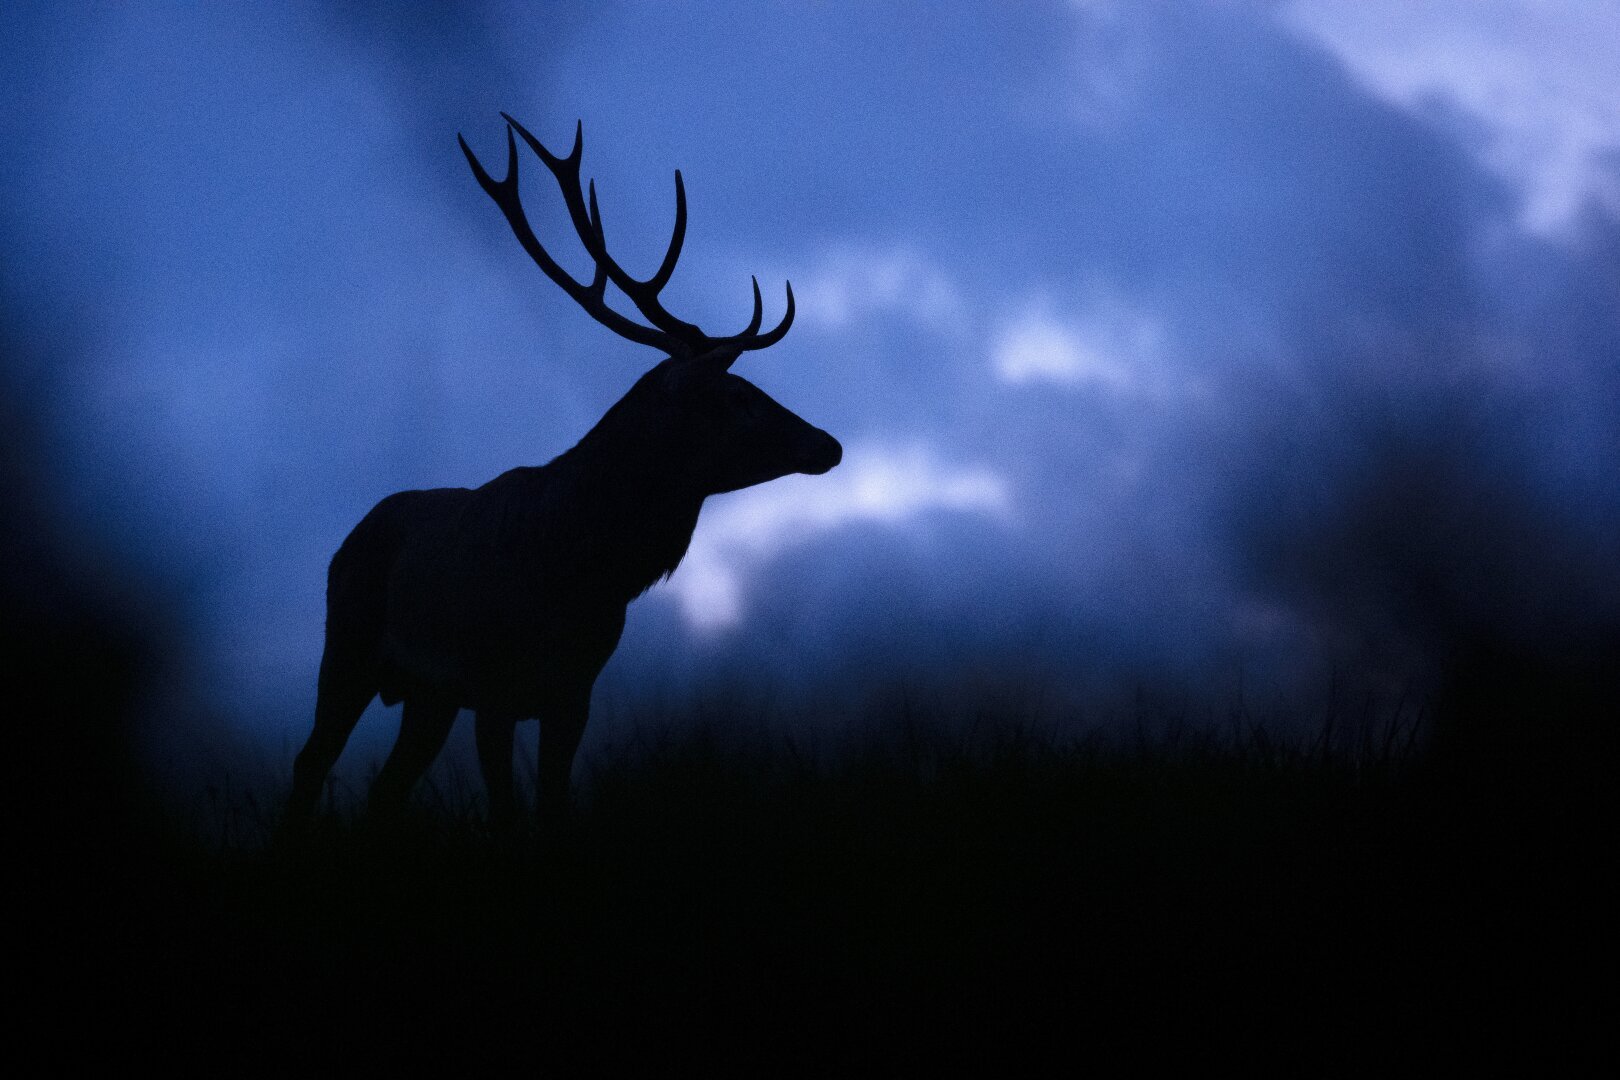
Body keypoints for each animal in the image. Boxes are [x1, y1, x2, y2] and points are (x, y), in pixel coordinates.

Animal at [281, 118, 835, 829]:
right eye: (740, 397)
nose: (828, 444)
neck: (581, 574)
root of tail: (347, 540)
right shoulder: (492, 687)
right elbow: (507, 812)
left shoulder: (574, 693)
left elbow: (551, 805)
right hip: (348, 648)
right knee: (310, 763)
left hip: (428, 697)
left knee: (386, 789)